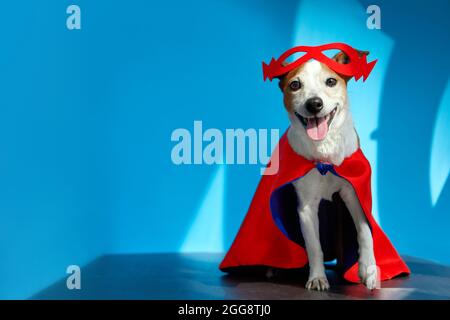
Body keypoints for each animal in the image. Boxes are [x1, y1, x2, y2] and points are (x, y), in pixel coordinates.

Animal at [276, 49, 378, 290]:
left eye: (331, 81)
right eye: (295, 85)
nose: (314, 104)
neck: (325, 154)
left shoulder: (353, 193)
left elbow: (364, 231)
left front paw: (367, 270)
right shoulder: (306, 207)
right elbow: (314, 246)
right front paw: (317, 277)